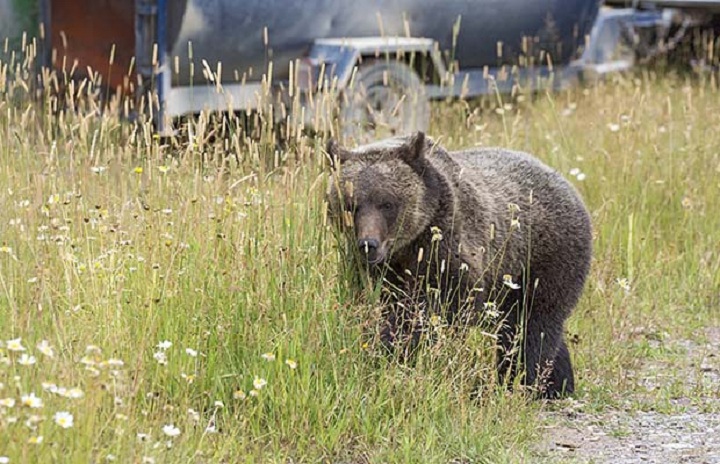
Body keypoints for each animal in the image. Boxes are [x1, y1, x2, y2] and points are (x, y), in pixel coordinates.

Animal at [325, 131, 593, 399]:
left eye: (387, 203)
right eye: (350, 204)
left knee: (531, 327)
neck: (407, 249)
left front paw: (396, 346)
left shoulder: (450, 251)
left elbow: (436, 308)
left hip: (544, 258)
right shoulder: (376, 271)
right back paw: (558, 384)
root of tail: (567, 184)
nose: (368, 244)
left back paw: (523, 384)